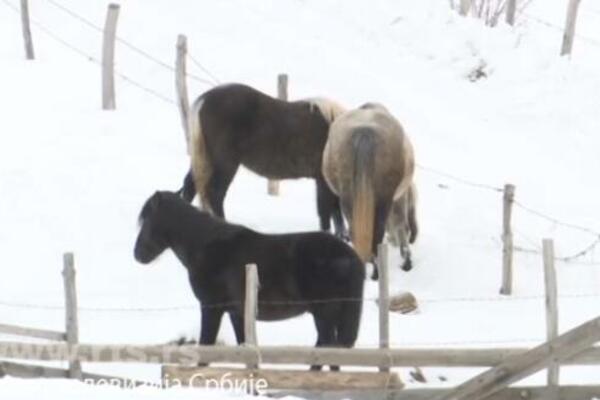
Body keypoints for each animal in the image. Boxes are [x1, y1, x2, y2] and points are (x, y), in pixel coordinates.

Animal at [178, 82, 346, 238]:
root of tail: (204, 100)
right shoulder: (323, 180)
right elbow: (326, 211)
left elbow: (334, 211)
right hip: (225, 163)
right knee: (215, 193)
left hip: (206, 160)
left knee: (190, 187)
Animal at [322, 103, 414, 278]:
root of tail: (365, 132)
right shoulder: (398, 198)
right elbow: (401, 225)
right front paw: (406, 261)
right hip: (383, 201)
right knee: (377, 234)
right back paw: (378, 272)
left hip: (348, 199)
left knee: (356, 232)